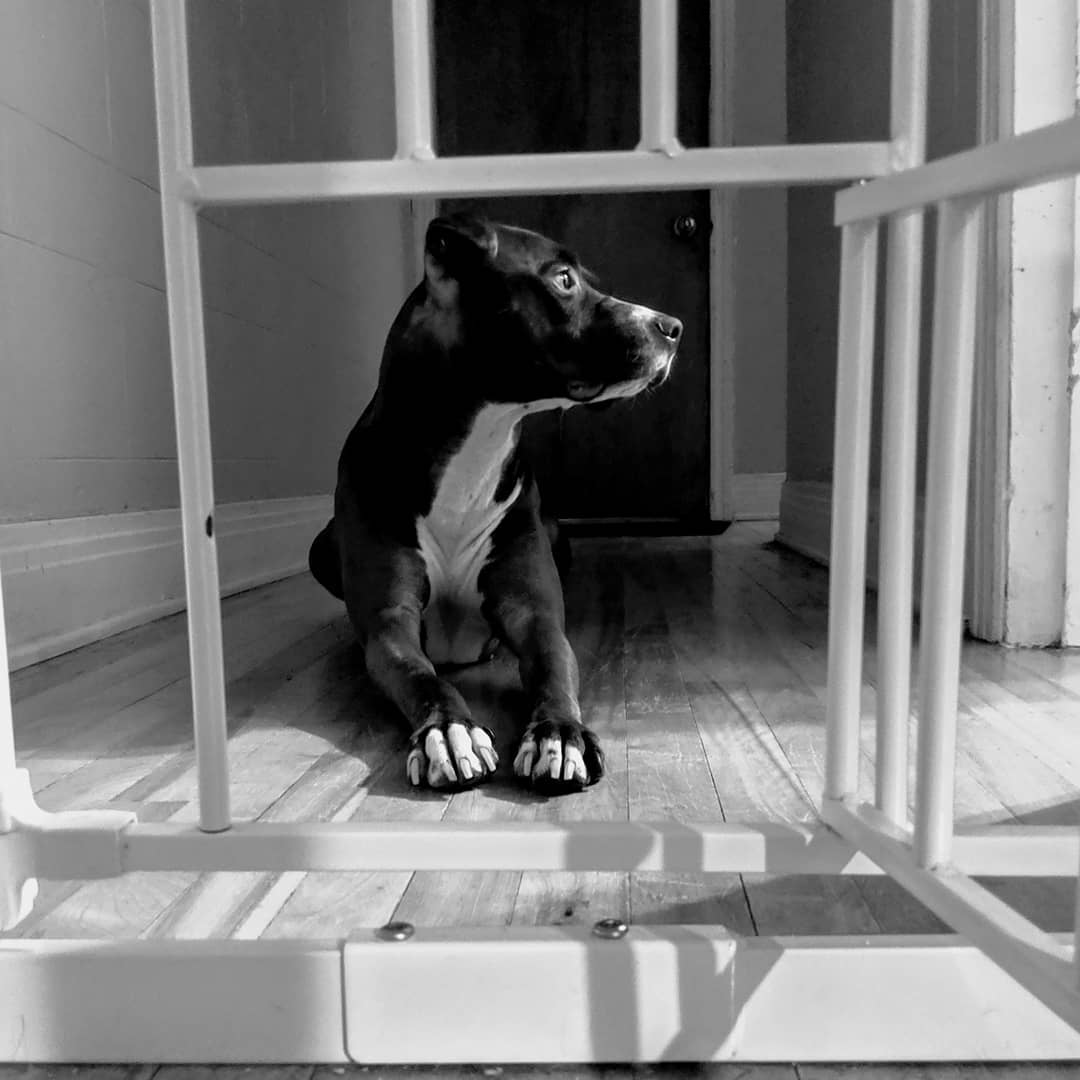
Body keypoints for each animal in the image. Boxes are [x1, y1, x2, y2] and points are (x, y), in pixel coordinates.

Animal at [311, 212, 682, 794]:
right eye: (563, 279)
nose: (673, 326)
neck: (473, 451)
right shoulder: (390, 626)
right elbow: (419, 675)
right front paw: (449, 730)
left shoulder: (533, 612)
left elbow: (554, 666)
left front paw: (560, 733)